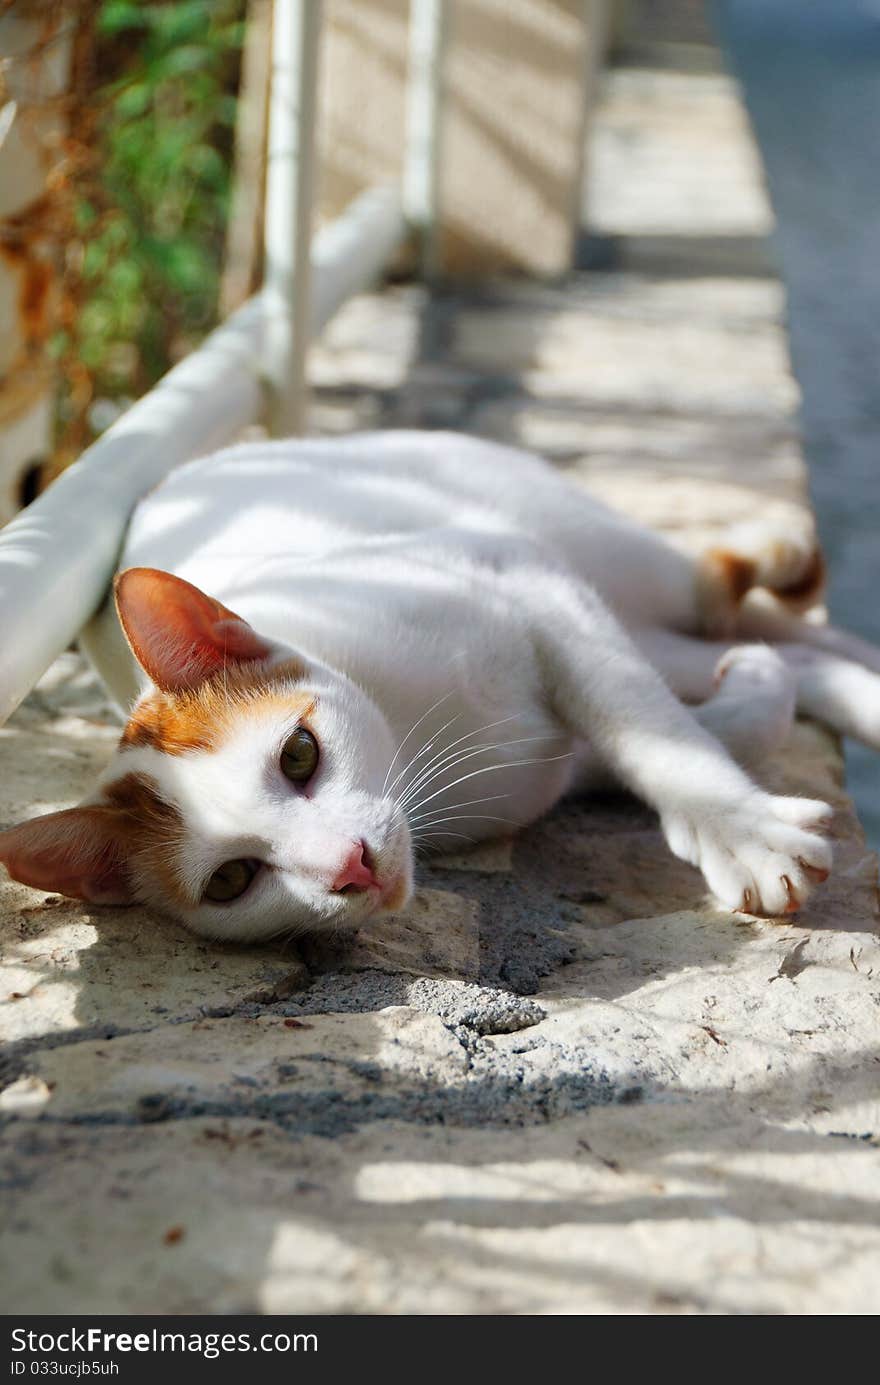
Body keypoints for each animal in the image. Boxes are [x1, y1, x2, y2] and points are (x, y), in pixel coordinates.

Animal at [6, 432, 880, 941]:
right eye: (231, 880)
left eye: (297, 755)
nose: (351, 865)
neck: (414, 735)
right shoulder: (567, 757)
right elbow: (700, 716)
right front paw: (749, 713)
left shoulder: (527, 577)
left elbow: (654, 730)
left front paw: (741, 827)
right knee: (757, 646)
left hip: (587, 549)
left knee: (721, 597)